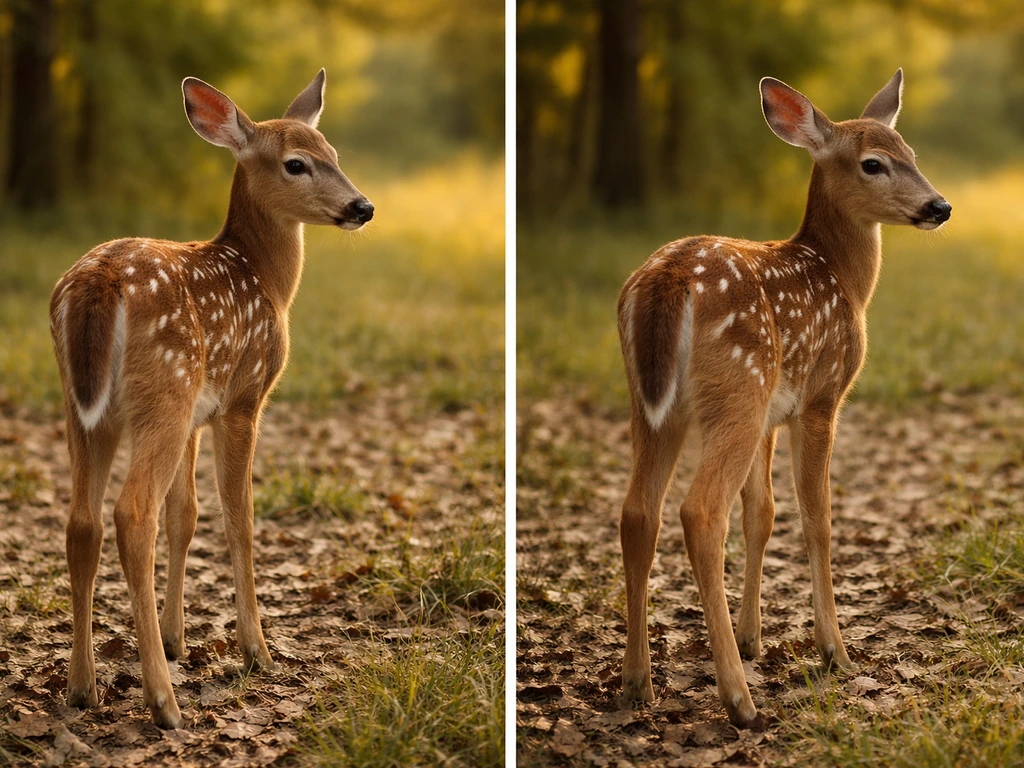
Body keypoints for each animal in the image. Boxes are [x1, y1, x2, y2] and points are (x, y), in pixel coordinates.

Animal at [48, 70, 373, 728]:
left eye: (333, 154)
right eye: (297, 163)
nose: (362, 207)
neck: (266, 280)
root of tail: (98, 281)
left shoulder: (200, 415)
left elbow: (187, 514)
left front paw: (177, 638)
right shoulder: (243, 399)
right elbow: (238, 515)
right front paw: (257, 651)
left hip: (88, 408)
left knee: (83, 522)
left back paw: (83, 686)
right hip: (164, 392)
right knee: (131, 514)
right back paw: (163, 703)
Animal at [616, 70, 950, 728]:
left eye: (912, 154)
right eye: (874, 163)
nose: (939, 207)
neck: (843, 279)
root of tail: (668, 279)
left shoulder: (776, 412)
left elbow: (763, 513)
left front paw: (754, 637)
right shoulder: (821, 396)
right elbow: (816, 516)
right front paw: (834, 650)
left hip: (659, 405)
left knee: (640, 511)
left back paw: (640, 682)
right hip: (737, 390)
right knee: (700, 512)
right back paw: (739, 701)